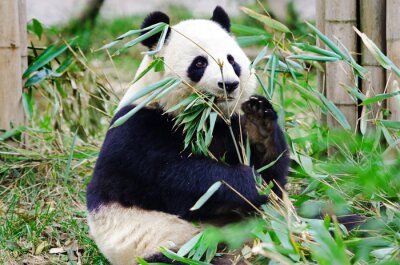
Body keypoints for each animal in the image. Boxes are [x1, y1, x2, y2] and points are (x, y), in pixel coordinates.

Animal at [86, 6, 288, 264]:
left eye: (232, 60)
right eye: (200, 63)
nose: (229, 84)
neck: (200, 118)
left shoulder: (228, 125)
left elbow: (274, 177)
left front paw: (259, 125)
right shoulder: (137, 130)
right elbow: (175, 179)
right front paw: (247, 182)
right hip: (162, 243)